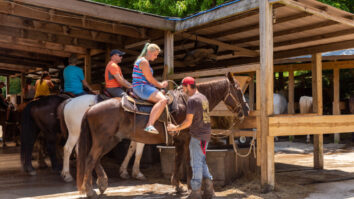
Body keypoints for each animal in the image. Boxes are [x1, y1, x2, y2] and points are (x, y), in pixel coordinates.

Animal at [77, 73, 249, 197]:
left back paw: (102, 183)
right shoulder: (186, 139)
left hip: (109, 140)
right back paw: (90, 190)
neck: (187, 102)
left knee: (96, 159)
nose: (246, 110)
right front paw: (188, 187)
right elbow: (187, 162)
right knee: (91, 159)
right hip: (104, 140)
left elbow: (178, 161)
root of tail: (91, 108)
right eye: (239, 91)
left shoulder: (180, 141)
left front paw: (178, 186)